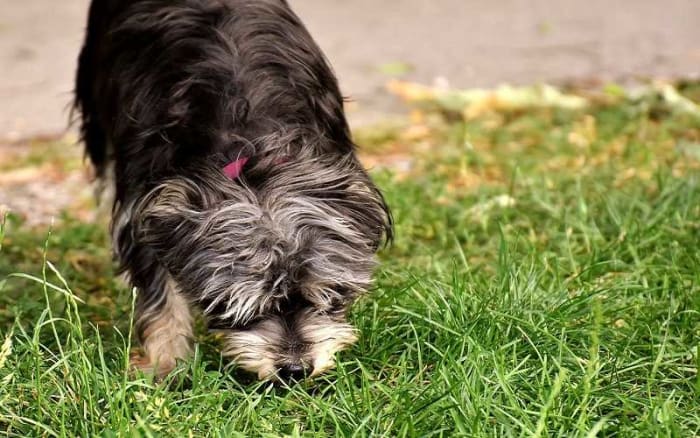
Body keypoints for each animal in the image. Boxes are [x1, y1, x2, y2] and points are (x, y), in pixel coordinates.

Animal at [76, 0, 394, 382]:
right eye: (238, 307)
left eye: (329, 295)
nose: (294, 369)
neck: (250, 141)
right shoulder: (146, 202)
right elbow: (158, 288)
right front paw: (167, 362)